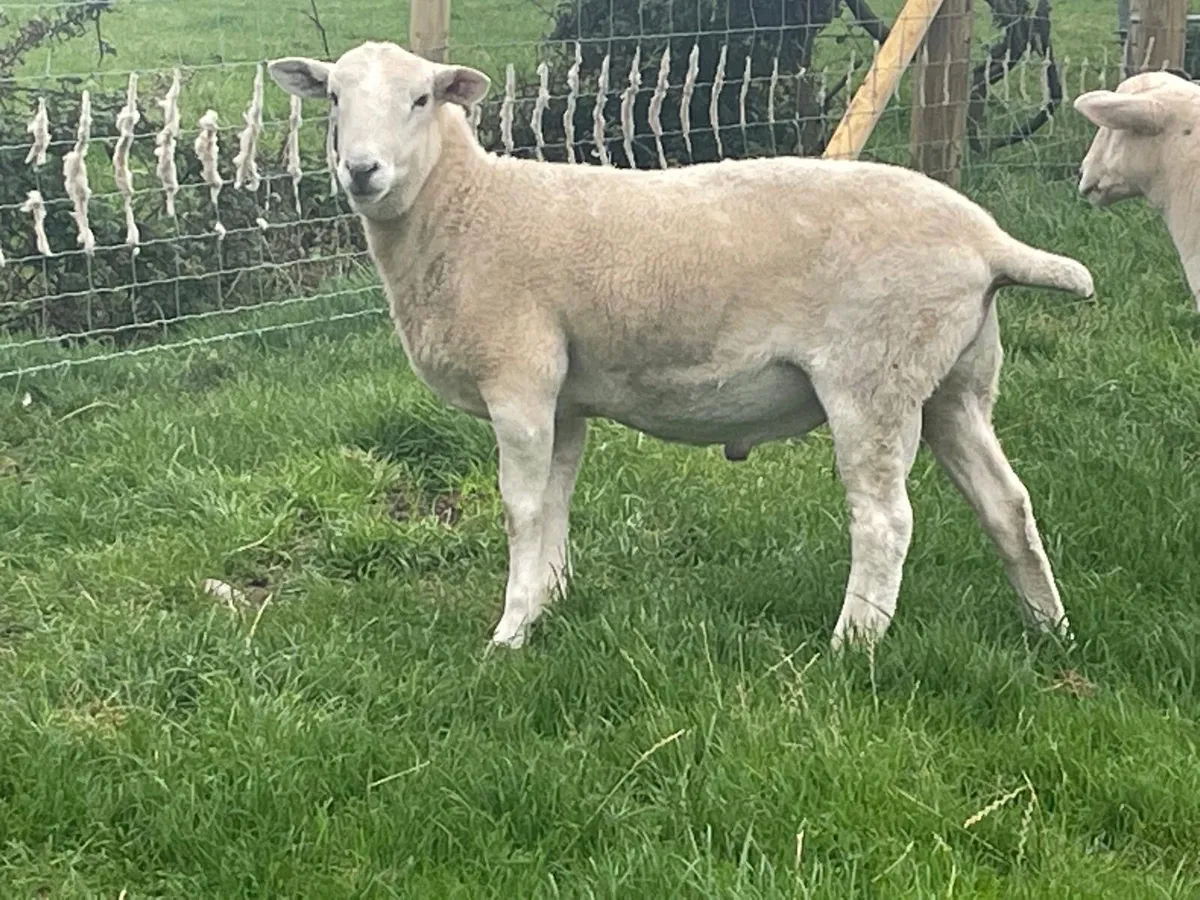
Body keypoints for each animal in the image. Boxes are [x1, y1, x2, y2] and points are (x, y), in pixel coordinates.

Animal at [268, 41, 1094, 652]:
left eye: (420, 100)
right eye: (333, 98)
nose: (361, 170)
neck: (465, 207)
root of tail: (987, 241)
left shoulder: (520, 380)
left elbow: (521, 510)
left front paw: (509, 632)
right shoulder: (564, 401)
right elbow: (558, 501)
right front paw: (549, 602)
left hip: (875, 375)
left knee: (885, 520)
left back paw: (852, 645)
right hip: (956, 380)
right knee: (1007, 504)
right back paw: (1049, 627)